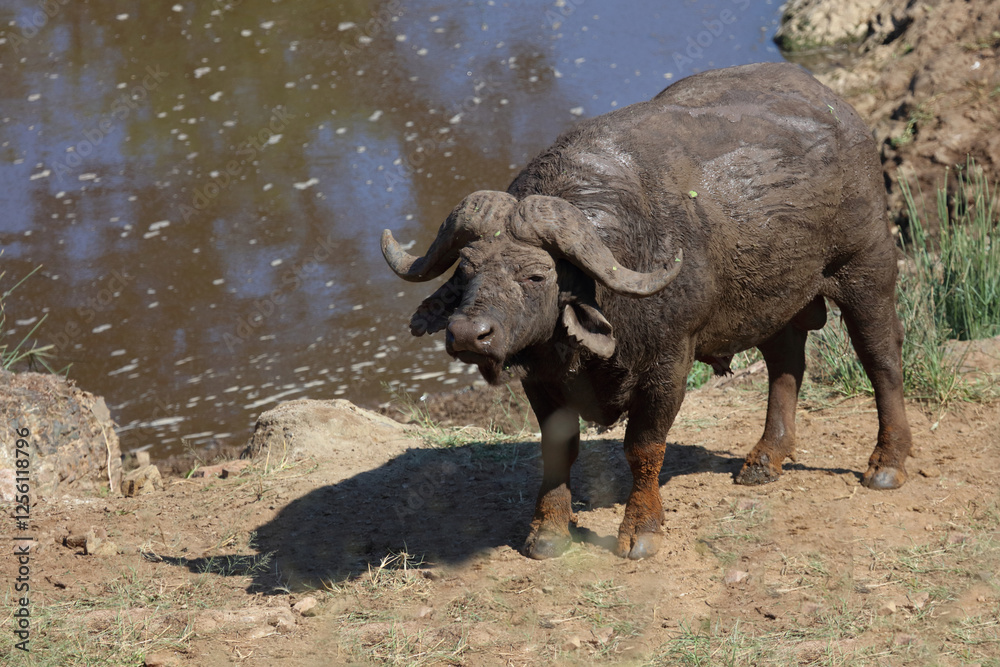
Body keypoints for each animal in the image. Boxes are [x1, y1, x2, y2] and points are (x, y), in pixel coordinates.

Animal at [382, 62, 913, 561]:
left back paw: (887, 463)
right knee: (786, 364)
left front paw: (640, 530)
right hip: (774, 299)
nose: (469, 334)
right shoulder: (540, 378)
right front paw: (548, 531)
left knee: (881, 358)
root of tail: (845, 116)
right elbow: (557, 450)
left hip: (867, 269)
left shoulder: (668, 363)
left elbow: (643, 448)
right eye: (468, 268)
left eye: (536, 276)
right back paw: (765, 460)